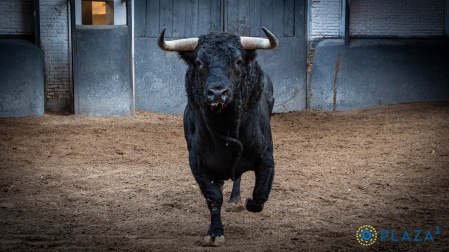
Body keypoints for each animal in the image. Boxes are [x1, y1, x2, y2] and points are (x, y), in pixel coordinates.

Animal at [158, 28, 276, 246]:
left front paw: (249, 202)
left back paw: (236, 201)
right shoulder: (197, 161)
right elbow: (213, 197)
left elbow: (260, 193)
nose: (218, 93)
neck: (225, 125)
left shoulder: (266, 156)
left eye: (238, 61)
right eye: (198, 61)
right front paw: (215, 232)